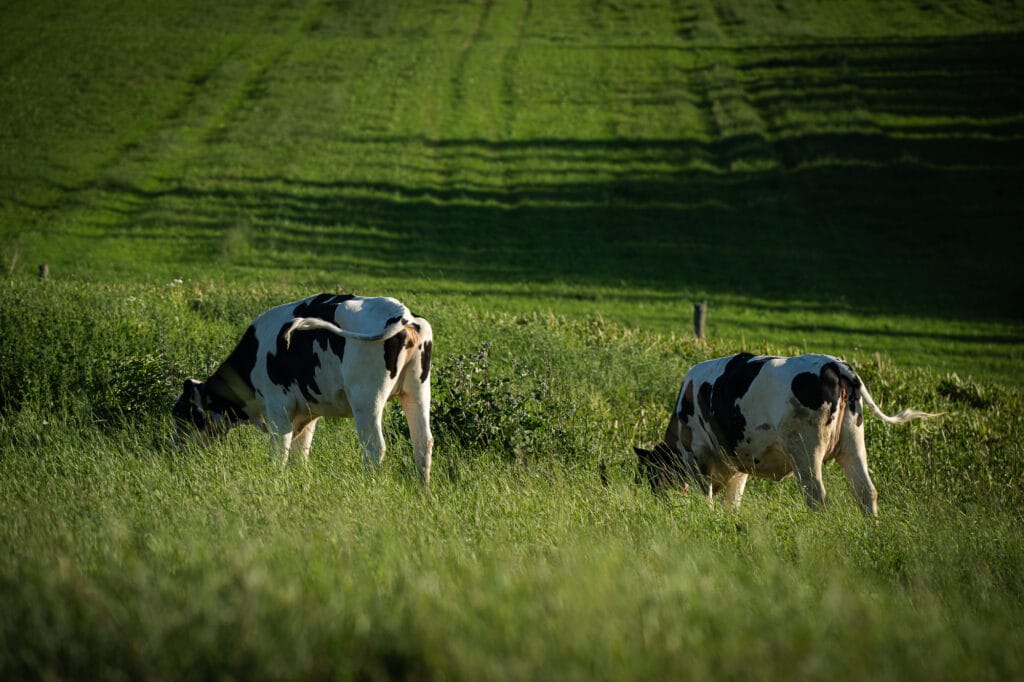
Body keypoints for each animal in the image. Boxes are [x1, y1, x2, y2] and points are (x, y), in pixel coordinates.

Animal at [171, 294, 432, 481]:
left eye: (183, 414)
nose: (175, 449)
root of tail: (403, 314)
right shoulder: (307, 413)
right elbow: (300, 455)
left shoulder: (278, 408)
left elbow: (279, 452)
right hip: (417, 392)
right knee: (423, 443)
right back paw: (423, 492)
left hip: (366, 400)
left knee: (374, 448)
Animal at [630, 352, 942, 512]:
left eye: (650, 476)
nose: (655, 503)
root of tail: (834, 365)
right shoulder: (739, 462)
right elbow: (733, 502)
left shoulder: (698, 456)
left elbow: (705, 496)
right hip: (853, 443)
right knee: (866, 491)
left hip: (805, 450)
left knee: (816, 496)